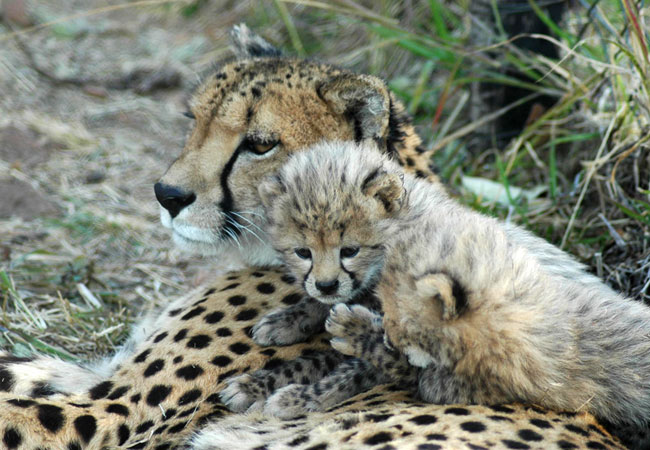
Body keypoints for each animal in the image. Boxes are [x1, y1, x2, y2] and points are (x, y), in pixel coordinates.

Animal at [0, 25, 624, 450]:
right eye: (192, 121)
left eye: (259, 143)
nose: (167, 195)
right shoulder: (100, 375)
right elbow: (19, 367)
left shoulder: (116, 410)